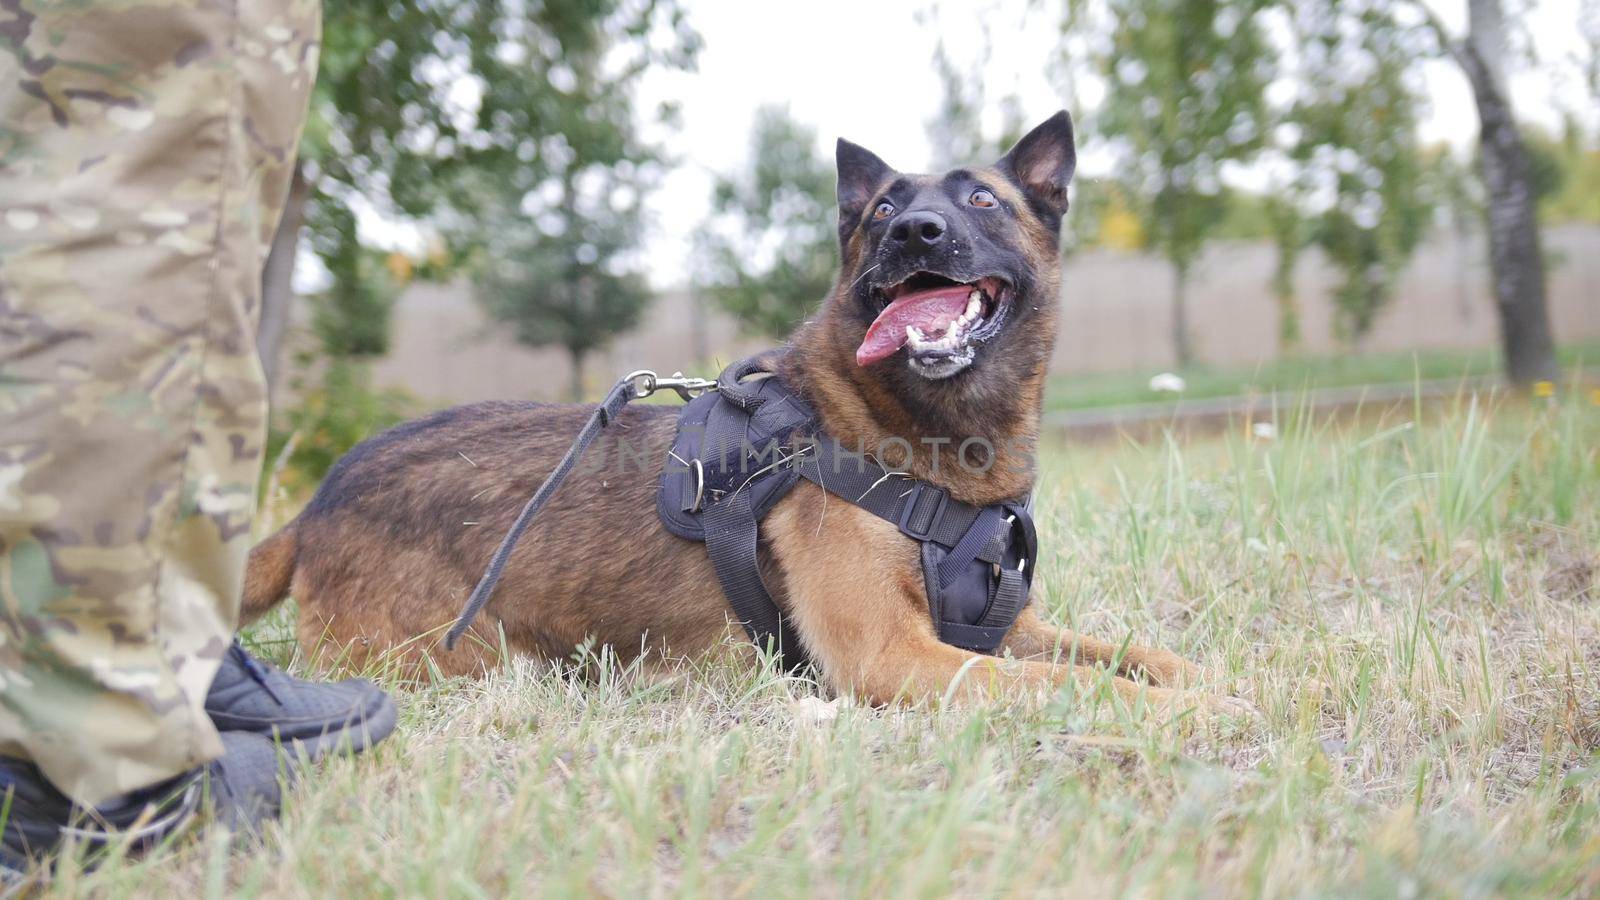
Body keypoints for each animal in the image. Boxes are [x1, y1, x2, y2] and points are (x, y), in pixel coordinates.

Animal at [243, 112, 1228, 711]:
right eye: (883, 208)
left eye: (982, 198)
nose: (914, 233)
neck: (921, 439)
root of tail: (318, 505)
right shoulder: (894, 655)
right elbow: (1087, 687)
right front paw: (1198, 712)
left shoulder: (1005, 631)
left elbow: (1135, 655)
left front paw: (1210, 675)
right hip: (469, 662)